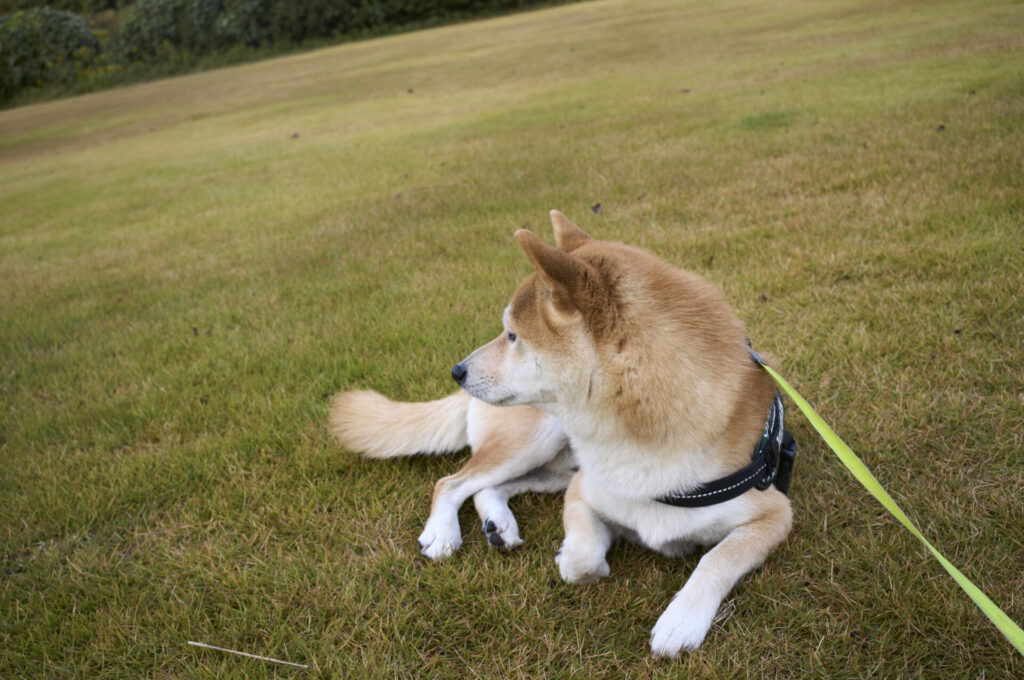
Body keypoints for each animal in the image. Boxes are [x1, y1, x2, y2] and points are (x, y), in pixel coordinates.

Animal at [331, 210, 794, 655]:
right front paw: (575, 557)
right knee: (452, 481)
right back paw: (443, 533)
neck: (642, 433)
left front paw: (682, 620)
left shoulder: (774, 515)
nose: (457, 371)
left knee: (486, 487)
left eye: (513, 335)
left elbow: (716, 559)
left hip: (554, 464)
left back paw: (499, 526)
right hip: (535, 442)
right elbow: (584, 557)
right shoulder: (583, 491)